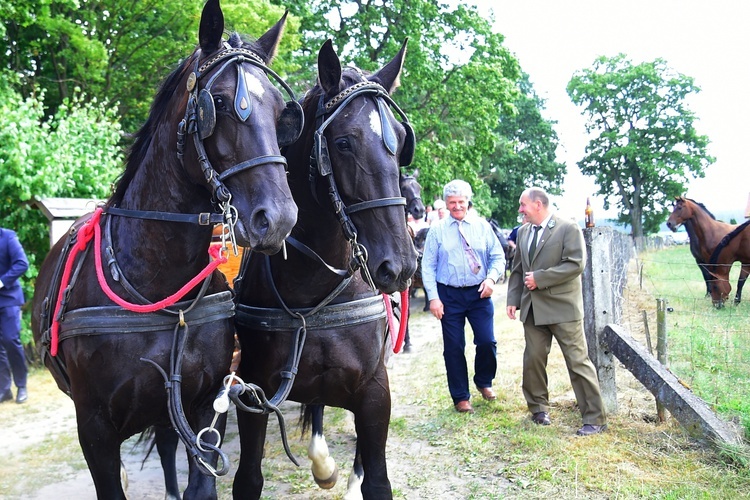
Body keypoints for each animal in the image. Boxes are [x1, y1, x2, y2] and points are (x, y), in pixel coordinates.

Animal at [30, 1, 300, 498]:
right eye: (221, 105)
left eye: (280, 113)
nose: (279, 218)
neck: (159, 289)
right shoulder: (94, 429)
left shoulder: (205, 406)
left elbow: (200, 481)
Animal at [232, 37, 418, 498]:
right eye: (345, 143)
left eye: (400, 140)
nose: (400, 265)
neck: (311, 291)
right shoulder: (253, 393)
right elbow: (249, 478)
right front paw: (322, 464)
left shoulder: (375, 392)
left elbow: (377, 478)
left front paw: (352, 476)